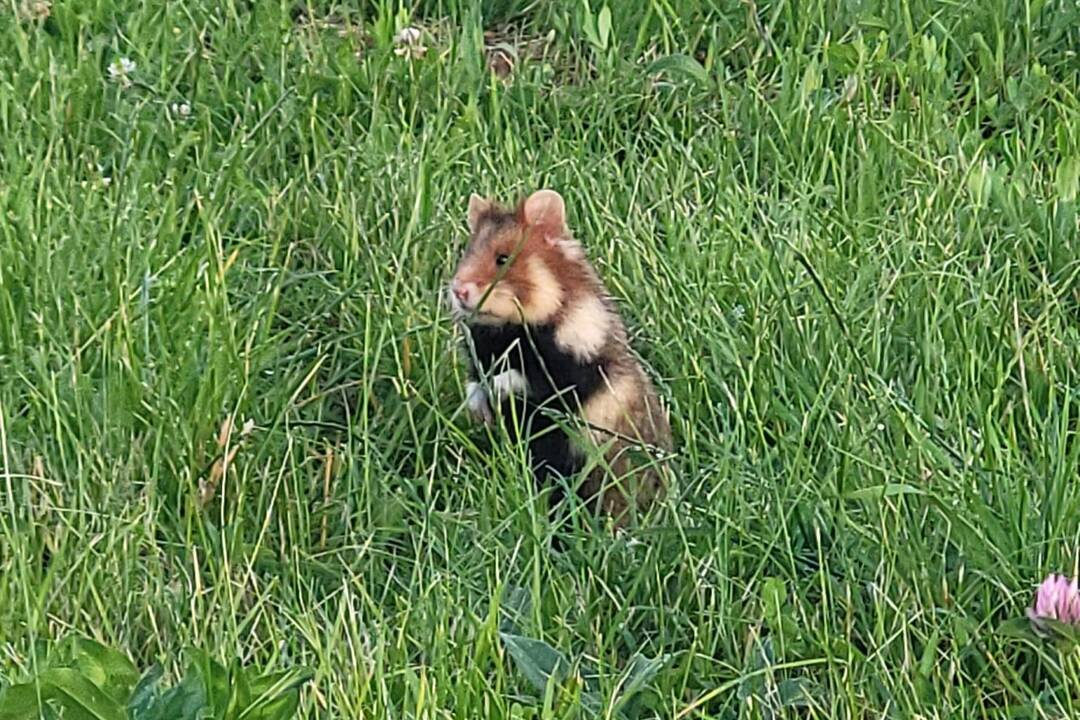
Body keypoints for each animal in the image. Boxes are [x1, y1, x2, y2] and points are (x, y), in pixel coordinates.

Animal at [444, 191, 665, 528]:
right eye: (466, 253)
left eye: (502, 258)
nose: (457, 291)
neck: (506, 328)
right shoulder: (480, 356)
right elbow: (474, 384)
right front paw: (479, 409)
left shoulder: (571, 369)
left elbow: (525, 377)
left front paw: (497, 388)